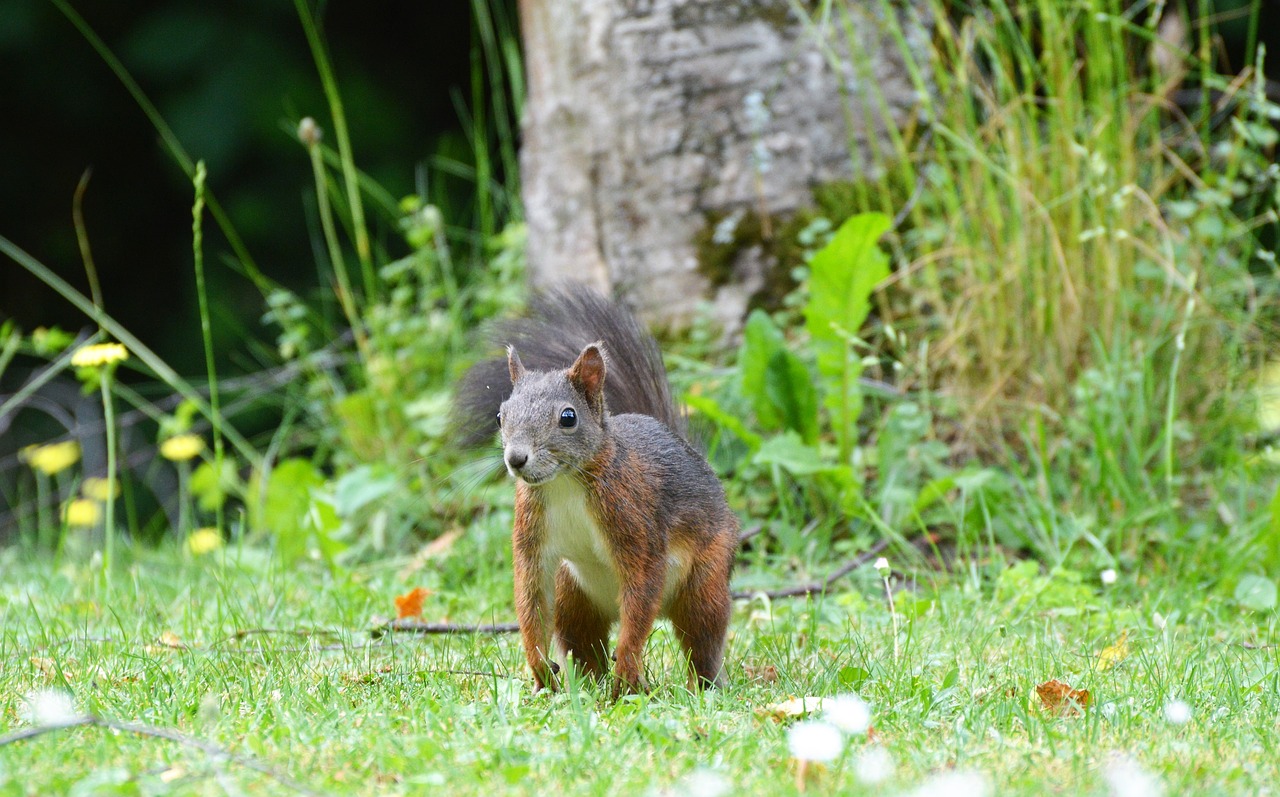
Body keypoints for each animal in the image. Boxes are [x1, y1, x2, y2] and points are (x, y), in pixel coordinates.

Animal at [458, 290, 742, 695]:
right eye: (501, 416)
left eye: (568, 417)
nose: (516, 459)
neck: (564, 483)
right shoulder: (531, 530)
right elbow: (530, 592)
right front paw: (539, 666)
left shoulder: (632, 516)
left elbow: (642, 585)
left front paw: (626, 669)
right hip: (572, 593)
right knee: (582, 640)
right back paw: (587, 684)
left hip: (706, 580)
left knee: (700, 635)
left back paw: (697, 685)